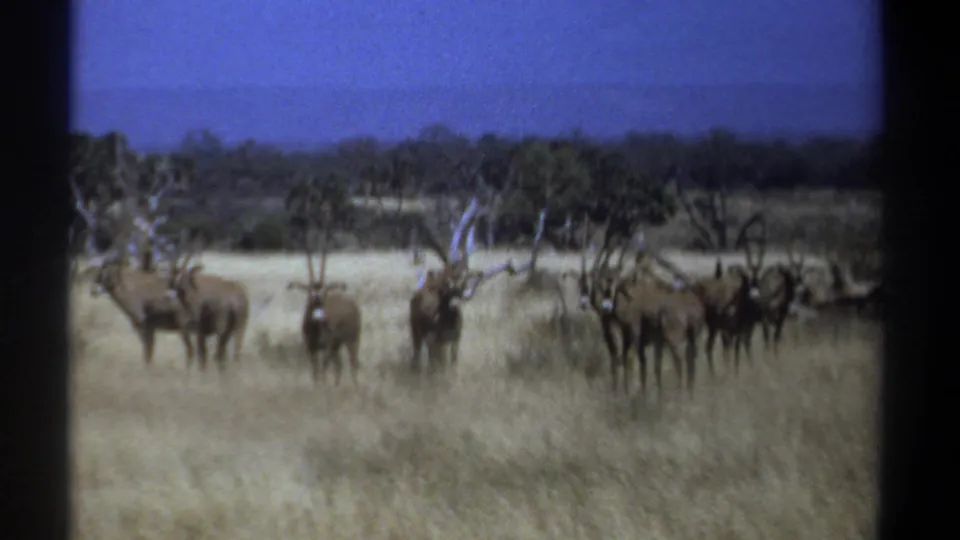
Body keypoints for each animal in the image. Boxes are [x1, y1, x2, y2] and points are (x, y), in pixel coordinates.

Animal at [167, 241, 250, 373]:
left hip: (221, 330)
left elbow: (199, 355)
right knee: (234, 352)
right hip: (238, 328)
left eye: (184, 275)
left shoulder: (197, 332)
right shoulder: (199, 332)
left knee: (218, 354)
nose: (172, 293)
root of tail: (235, 293)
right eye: (173, 274)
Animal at [286, 227, 362, 386]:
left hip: (352, 340)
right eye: (310, 293)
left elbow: (323, 370)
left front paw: (323, 387)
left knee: (353, 362)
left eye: (325, 293)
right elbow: (315, 372)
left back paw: (355, 386)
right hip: (337, 346)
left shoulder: (326, 348)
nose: (319, 315)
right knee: (339, 365)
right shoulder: (311, 349)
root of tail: (352, 304)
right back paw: (337, 385)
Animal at [409, 198, 516, 373]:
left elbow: (453, 361)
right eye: (446, 283)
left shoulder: (455, 340)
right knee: (418, 354)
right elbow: (438, 361)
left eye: (463, 278)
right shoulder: (436, 340)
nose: (459, 295)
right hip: (417, 333)